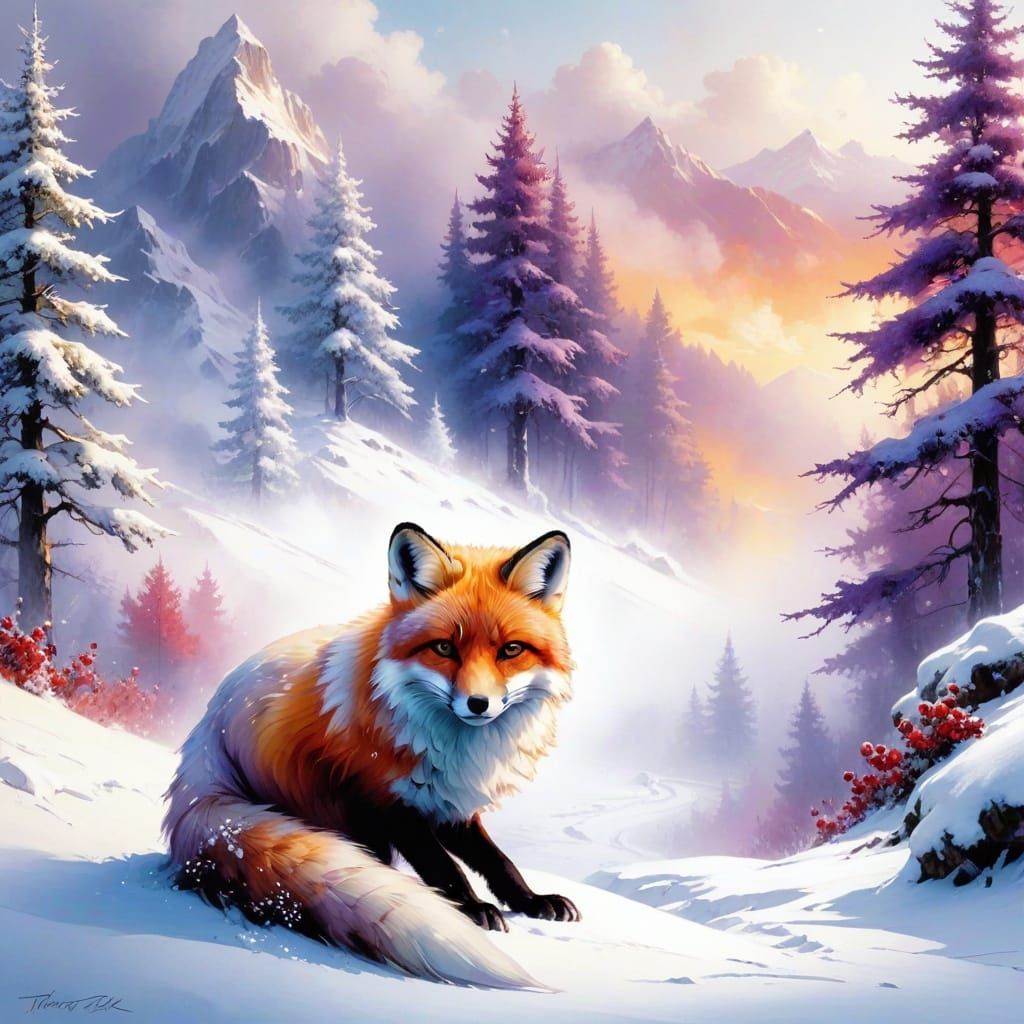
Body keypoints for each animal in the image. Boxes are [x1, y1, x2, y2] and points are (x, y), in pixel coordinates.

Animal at [164, 523, 579, 989]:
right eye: (444, 649)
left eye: (510, 650)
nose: (478, 704)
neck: (450, 746)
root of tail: (204, 739)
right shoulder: (382, 799)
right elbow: (444, 867)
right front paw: (472, 910)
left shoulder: (449, 799)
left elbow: (496, 859)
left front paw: (530, 899)